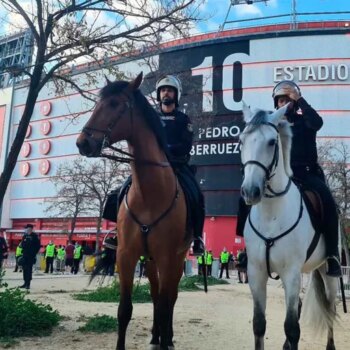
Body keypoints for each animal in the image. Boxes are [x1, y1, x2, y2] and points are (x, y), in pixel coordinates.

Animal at [76, 72, 191, 348]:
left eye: (115, 104)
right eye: (98, 103)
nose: (83, 143)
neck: (149, 194)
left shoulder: (167, 256)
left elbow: (165, 305)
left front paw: (166, 339)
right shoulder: (126, 255)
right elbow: (125, 310)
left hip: (177, 258)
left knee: (170, 297)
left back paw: (167, 337)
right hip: (149, 260)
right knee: (156, 293)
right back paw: (156, 335)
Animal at [239, 102, 338, 348]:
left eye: (271, 142)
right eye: (241, 141)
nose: (250, 191)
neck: (272, 215)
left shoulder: (291, 274)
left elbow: (292, 328)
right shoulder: (256, 273)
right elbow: (259, 324)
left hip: (328, 273)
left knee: (330, 309)